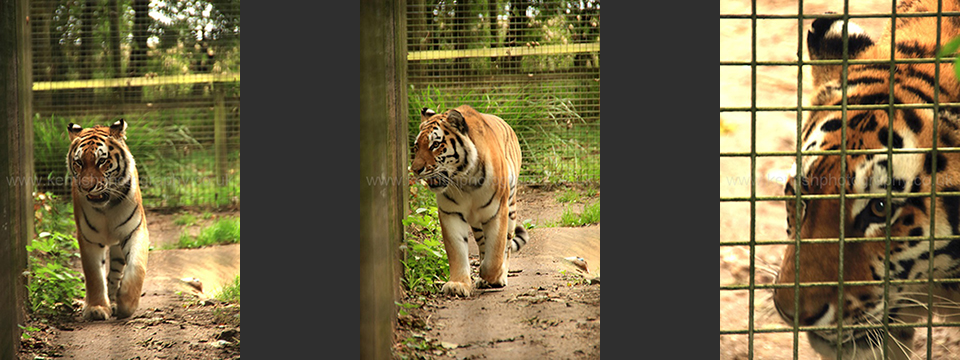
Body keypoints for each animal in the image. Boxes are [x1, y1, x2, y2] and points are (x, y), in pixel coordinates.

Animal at [67, 120, 149, 320]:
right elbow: (94, 275)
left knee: (116, 271)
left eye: (101, 161)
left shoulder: (135, 230)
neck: (106, 208)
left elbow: (137, 267)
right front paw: (96, 307)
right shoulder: (88, 238)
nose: (87, 187)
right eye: (79, 162)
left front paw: (126, 303)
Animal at [408, 105, 528, 298]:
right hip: (477, 224)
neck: (464, 181)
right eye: (417, 146)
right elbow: (457, 251)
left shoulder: (497, 212)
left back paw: (499, 275)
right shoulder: (451, 213)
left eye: (435, 145)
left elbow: (496, 252)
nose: (416, 170)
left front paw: (492, 275)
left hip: (510, 209)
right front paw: (458, 284)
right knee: (483, 244)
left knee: (507, 245)